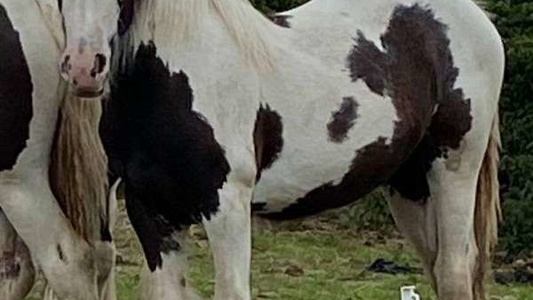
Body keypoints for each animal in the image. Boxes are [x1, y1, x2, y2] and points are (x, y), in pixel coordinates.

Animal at [62, 0, 502, 300]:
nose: (84, 67)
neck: (177, 79)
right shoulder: (150, 212)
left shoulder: (227, 208)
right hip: (409, 186)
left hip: (454, 172)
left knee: (453, 271)